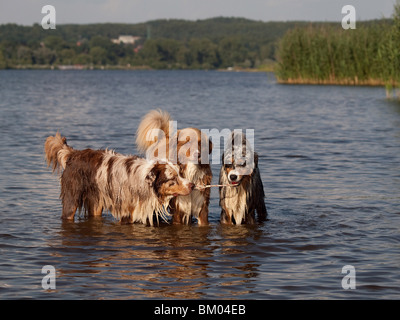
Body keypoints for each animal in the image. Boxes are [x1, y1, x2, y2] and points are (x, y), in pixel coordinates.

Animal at [44, 132, 195, 225]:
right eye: (172, 178)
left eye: (181, 174)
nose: (192, 185)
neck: (144, 182)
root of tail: (73, 154)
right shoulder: (127, 213)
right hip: (71, 200)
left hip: (96, 203)